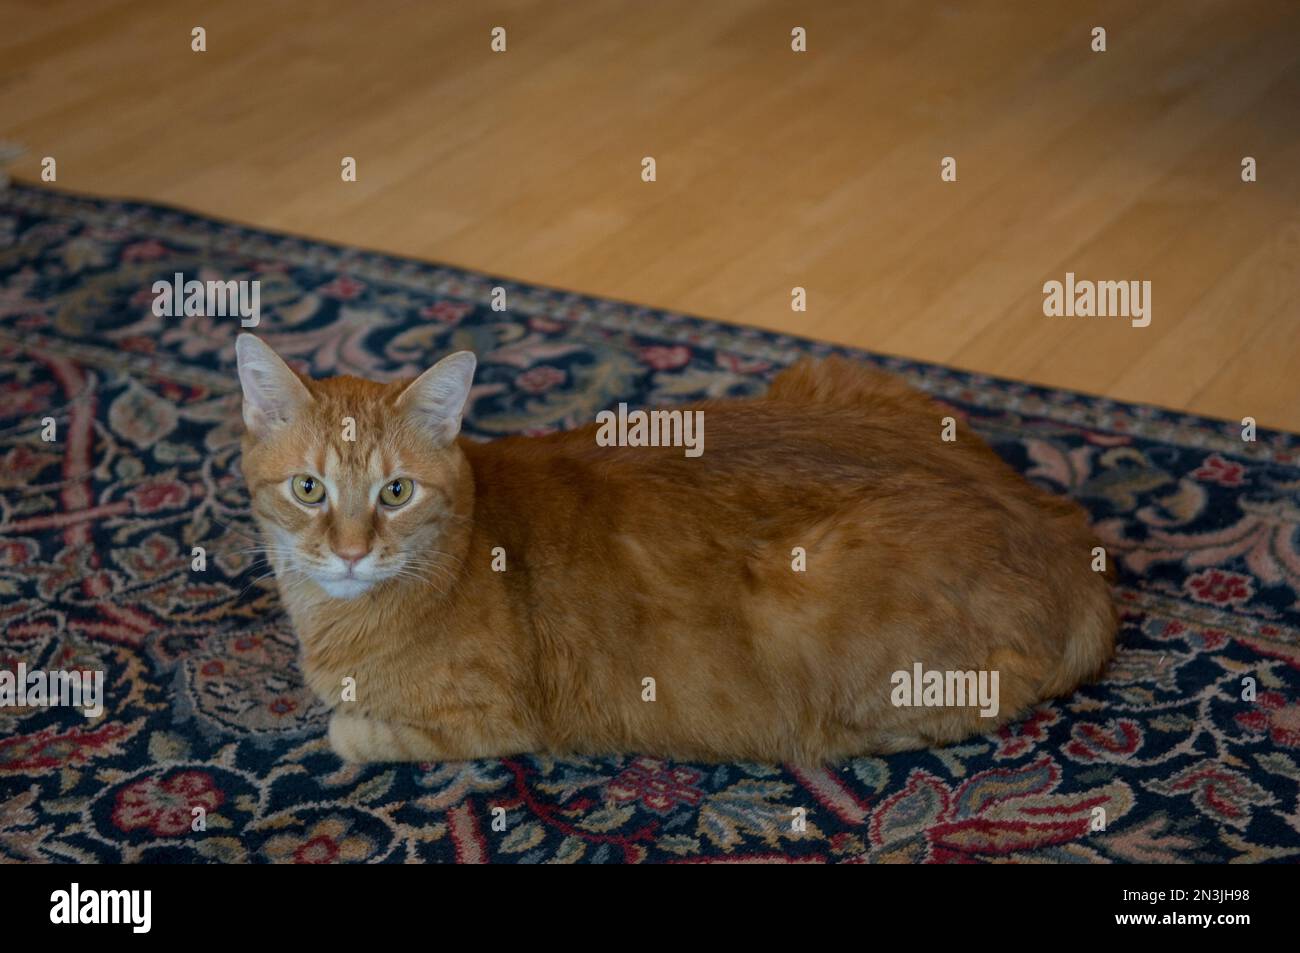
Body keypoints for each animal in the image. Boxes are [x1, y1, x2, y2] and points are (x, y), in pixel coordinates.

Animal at [236, 335, 1118, 764]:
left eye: (395, 493)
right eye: (310, 489)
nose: (351, 552)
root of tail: (1068, 526)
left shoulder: (492, 722)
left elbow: (351, 730)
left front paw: (339, 723)